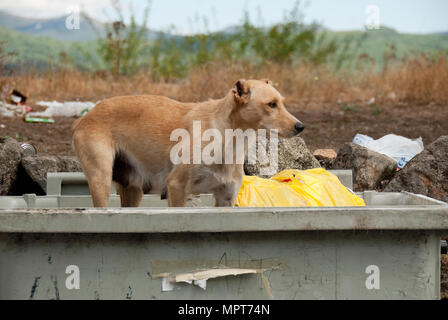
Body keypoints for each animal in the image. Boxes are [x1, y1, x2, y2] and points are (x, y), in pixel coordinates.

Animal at [72, 79, 304, 206]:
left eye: (283, 103)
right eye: (271, 104)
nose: (300, 126)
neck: (227, 138)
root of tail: (83, 118)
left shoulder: (226, 198)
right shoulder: (177, 187)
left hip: (133, 189)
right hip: (101, 180)